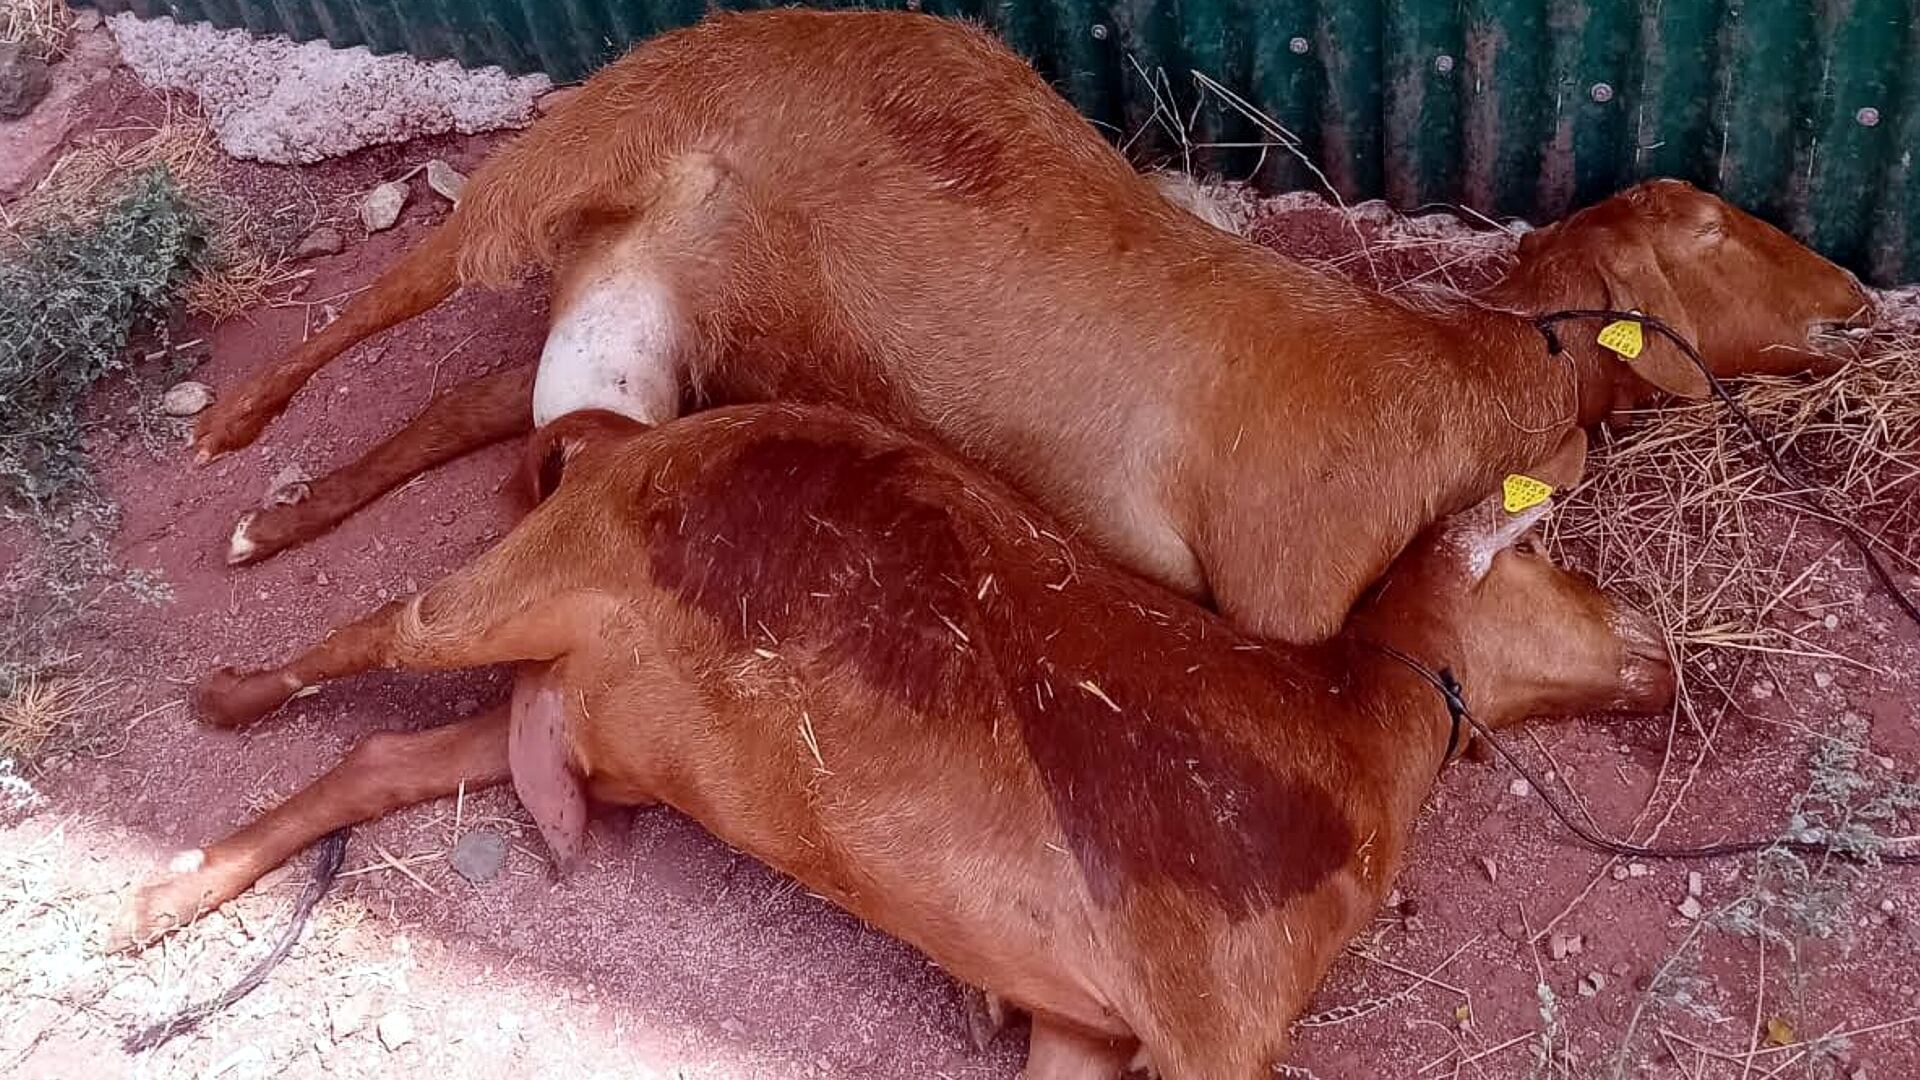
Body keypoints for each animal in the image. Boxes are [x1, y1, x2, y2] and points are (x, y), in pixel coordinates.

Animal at [126, 402, 1675, 1077]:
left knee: (383, 758)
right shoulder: (1207, 1022)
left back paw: (163, 899)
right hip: (532, 574)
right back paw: (220, 705)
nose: (1663, 654)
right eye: (1558, 563)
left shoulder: (1084, 1022)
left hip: (589, 713)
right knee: (375, 631)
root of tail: (625, 430)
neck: (1351, 734)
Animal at [191, 9, 1871, 644]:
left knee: (451, 414)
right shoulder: (1284, 586)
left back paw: (281, 519)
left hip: (649, 343)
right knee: (400, 291)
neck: (1473, 364)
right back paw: (233, 431)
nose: (1859, 306)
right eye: (1715, 223)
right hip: (586, 143)